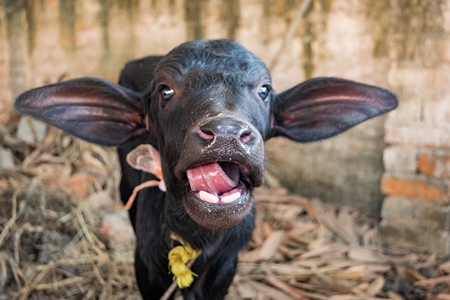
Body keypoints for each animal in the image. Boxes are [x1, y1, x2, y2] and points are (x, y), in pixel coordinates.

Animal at [14, 38, 398, 298]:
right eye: (165, 91)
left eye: (264, 90)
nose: (226, 133)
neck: (198, 238)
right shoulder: (148, 267)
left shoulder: (225, 267)